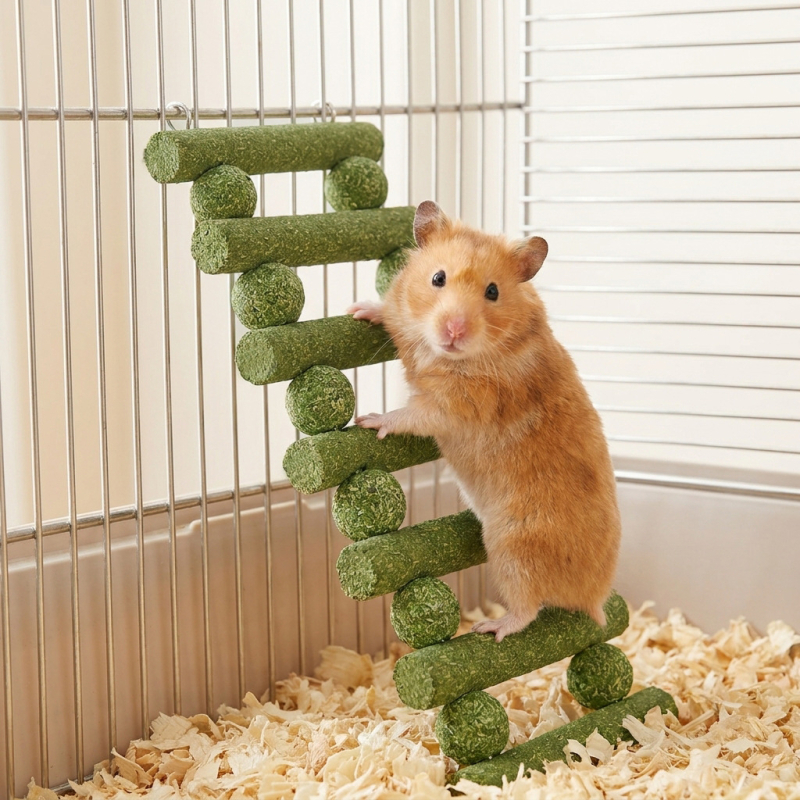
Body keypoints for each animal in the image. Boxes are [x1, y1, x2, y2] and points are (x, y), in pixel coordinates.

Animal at [347, 201, 620, 642]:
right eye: (438, 277)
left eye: (493, 291)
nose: (454, 330)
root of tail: (595, 599)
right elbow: (389, 311)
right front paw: (359, 309)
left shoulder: (454, 407)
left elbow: (412, 414)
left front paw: (370, 420)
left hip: (513, 550)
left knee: (528, 608)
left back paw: (491, 627)